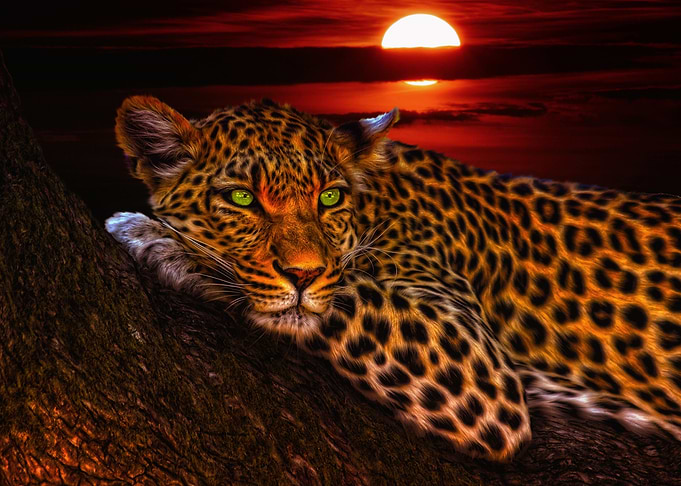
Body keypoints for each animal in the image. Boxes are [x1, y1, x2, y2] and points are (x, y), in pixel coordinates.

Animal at [106, 95, 681, 462]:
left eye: (329, 197)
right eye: (243, 198)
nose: (302, 274)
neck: (375, 203)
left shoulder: (474, 362)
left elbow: (341, 296)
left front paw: (156, 237)